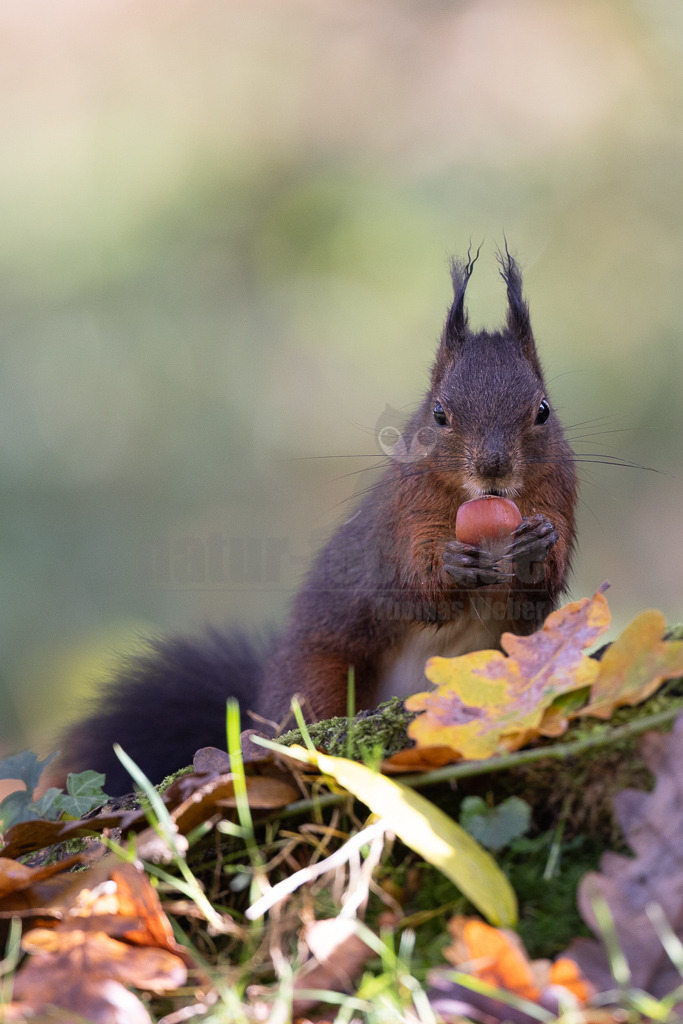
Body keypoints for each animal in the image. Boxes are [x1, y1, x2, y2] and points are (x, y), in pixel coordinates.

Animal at [59, 248, 578, 794]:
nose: (493, 467)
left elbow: (536, 595)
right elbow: (406, 588)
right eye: (438, 413)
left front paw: (538, 544)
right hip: (315, 679)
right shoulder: (400, 516)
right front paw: (454, 566)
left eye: (543, 410)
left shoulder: (560, 495)